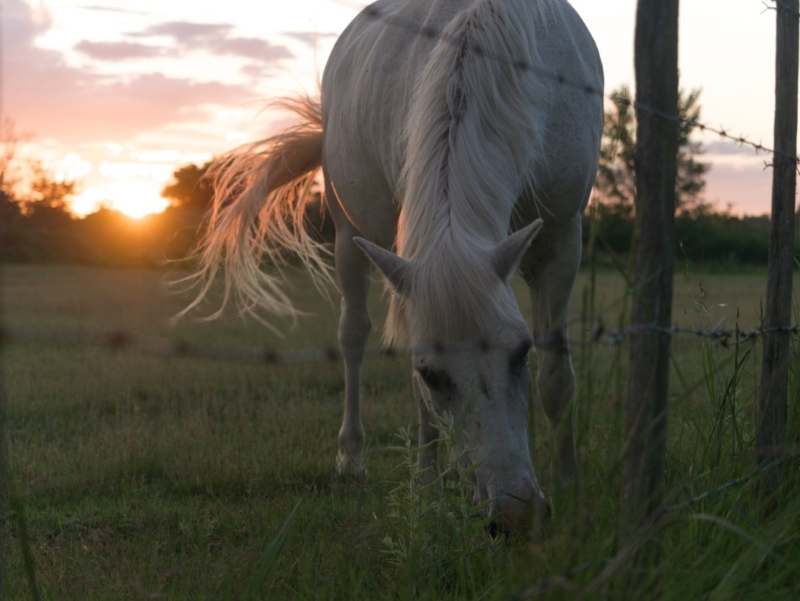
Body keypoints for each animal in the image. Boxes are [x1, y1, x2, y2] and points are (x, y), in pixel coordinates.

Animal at [186, 0, 603, 531]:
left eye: (520, 352)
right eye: (432, 374)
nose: (512, 515)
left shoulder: (562, 242)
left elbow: (557, 377)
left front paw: (570, 483)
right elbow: (417, 393)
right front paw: (426, 487)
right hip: (348, 236)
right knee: (353, 334)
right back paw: (354, 458)